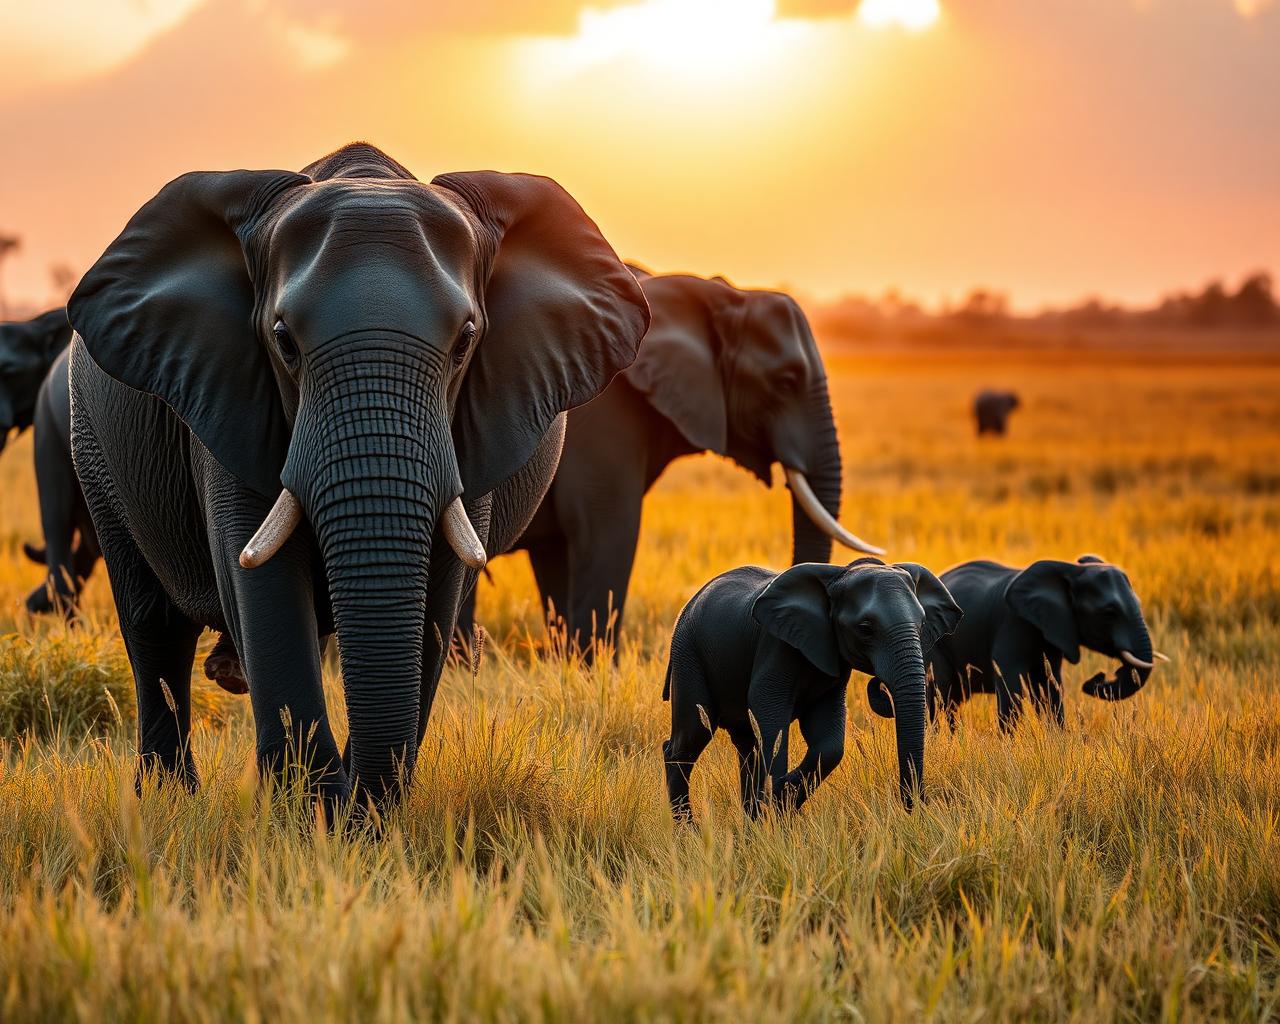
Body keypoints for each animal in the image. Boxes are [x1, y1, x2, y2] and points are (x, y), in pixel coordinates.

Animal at [65, 142, 649, 811]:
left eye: (466, 341)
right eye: (284, 342)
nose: (354, 802)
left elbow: (438, 595)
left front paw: (357, 819)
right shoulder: (229, 398)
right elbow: (263, 583)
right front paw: (311, 813)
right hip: (93, 446)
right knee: (155, 628)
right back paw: (168, 803)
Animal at [460, 270, 882, 656]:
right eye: (786, 381)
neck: (716, 296)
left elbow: (558, 555)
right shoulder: (604, 422)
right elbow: (609, 534)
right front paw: (594, 670)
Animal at [662, 558, 961, 819]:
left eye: (922, 625)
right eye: (865, 628)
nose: (916, 807)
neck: (838, 576)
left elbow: (829, 741)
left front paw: (783, 799)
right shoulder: (777, 646)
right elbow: (769, 714)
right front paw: (779, 801)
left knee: (748, 747)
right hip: (688, 655)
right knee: (689, 740)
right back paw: (691, 832)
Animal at [868, 554, 1167, 731]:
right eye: (1109, 612)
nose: (1100, 677)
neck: (1070, 570)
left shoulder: (1050, 632)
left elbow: (1050, 688)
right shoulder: (1013, 625)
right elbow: (1011, 690)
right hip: (933, 646)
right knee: (940, 697)